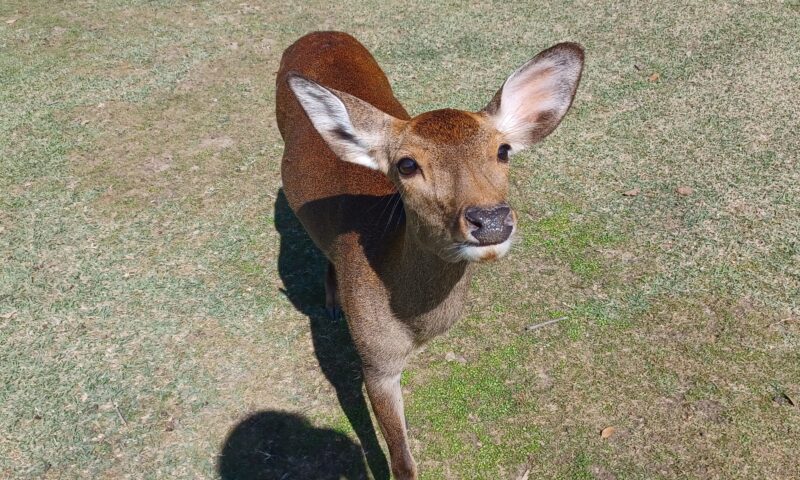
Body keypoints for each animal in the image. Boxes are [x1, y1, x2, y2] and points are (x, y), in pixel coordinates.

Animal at [276, 31, 580, 478]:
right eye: (406, 164)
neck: (413, 324)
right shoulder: (375, 359)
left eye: (503, 150)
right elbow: (403, 460)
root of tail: (318, 33)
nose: (490, 220)